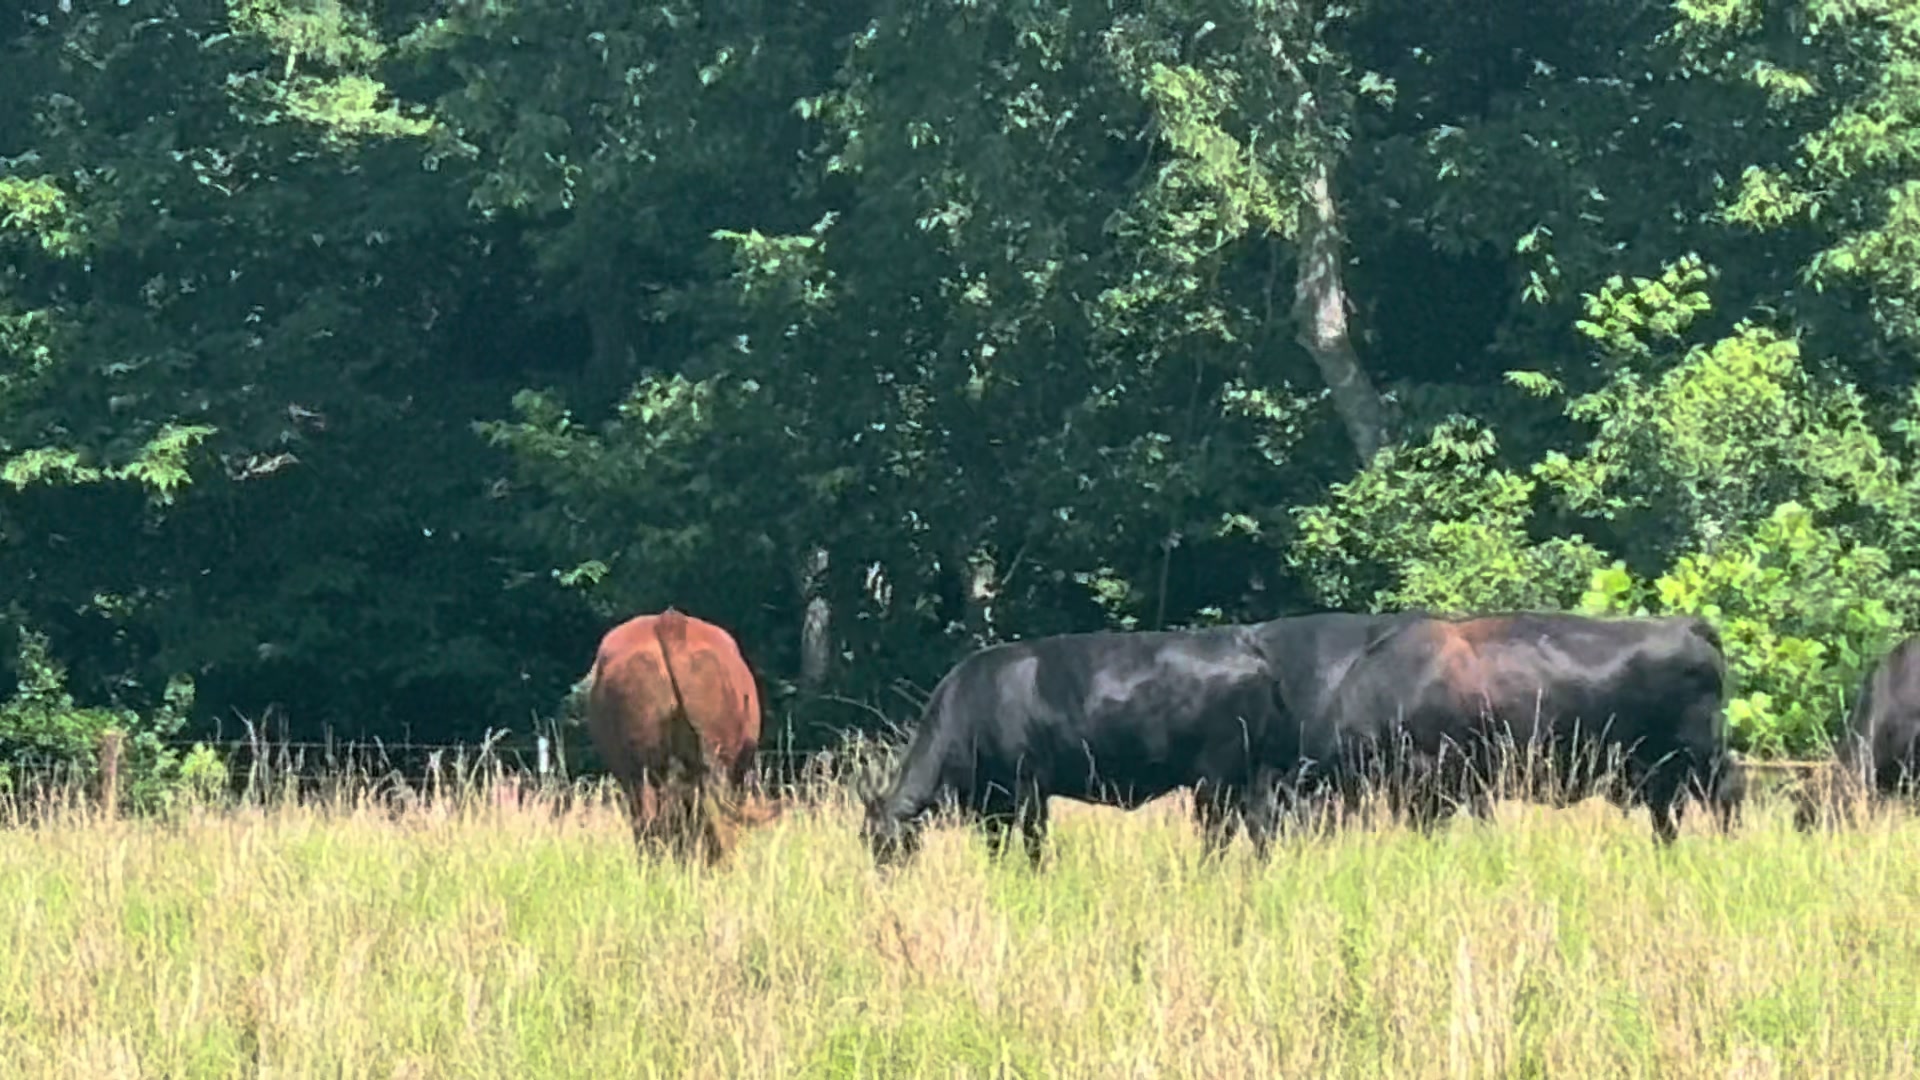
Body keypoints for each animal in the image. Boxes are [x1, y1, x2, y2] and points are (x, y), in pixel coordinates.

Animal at [859, 624, 1296, 869]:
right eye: (865, 839)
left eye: (885, 840)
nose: (882, 878)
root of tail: (1248, 649)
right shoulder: (991, 803)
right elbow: (995, 849)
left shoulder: (1030, 788)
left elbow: (1034, 844)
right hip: (1252, 775)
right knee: (1261, 828)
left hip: (1216, 779)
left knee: (1218, 833)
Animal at [1283, 612, 1744, 844]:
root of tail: (1688, 626)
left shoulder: (1433, 781)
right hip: (1665, 774)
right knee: (1668, 816)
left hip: (1700, 758)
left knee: (1725, 794)